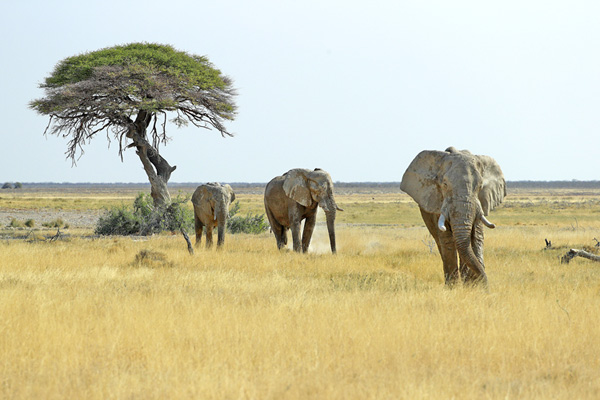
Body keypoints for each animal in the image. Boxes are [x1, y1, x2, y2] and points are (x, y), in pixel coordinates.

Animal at [398, 148, 506, 286]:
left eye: (480, 186)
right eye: (444, 184)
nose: (487, 287)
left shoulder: (479, 204)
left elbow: (476, 236)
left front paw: (472, 285)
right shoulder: (438, 204)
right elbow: (447, 240)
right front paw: (454, 287)